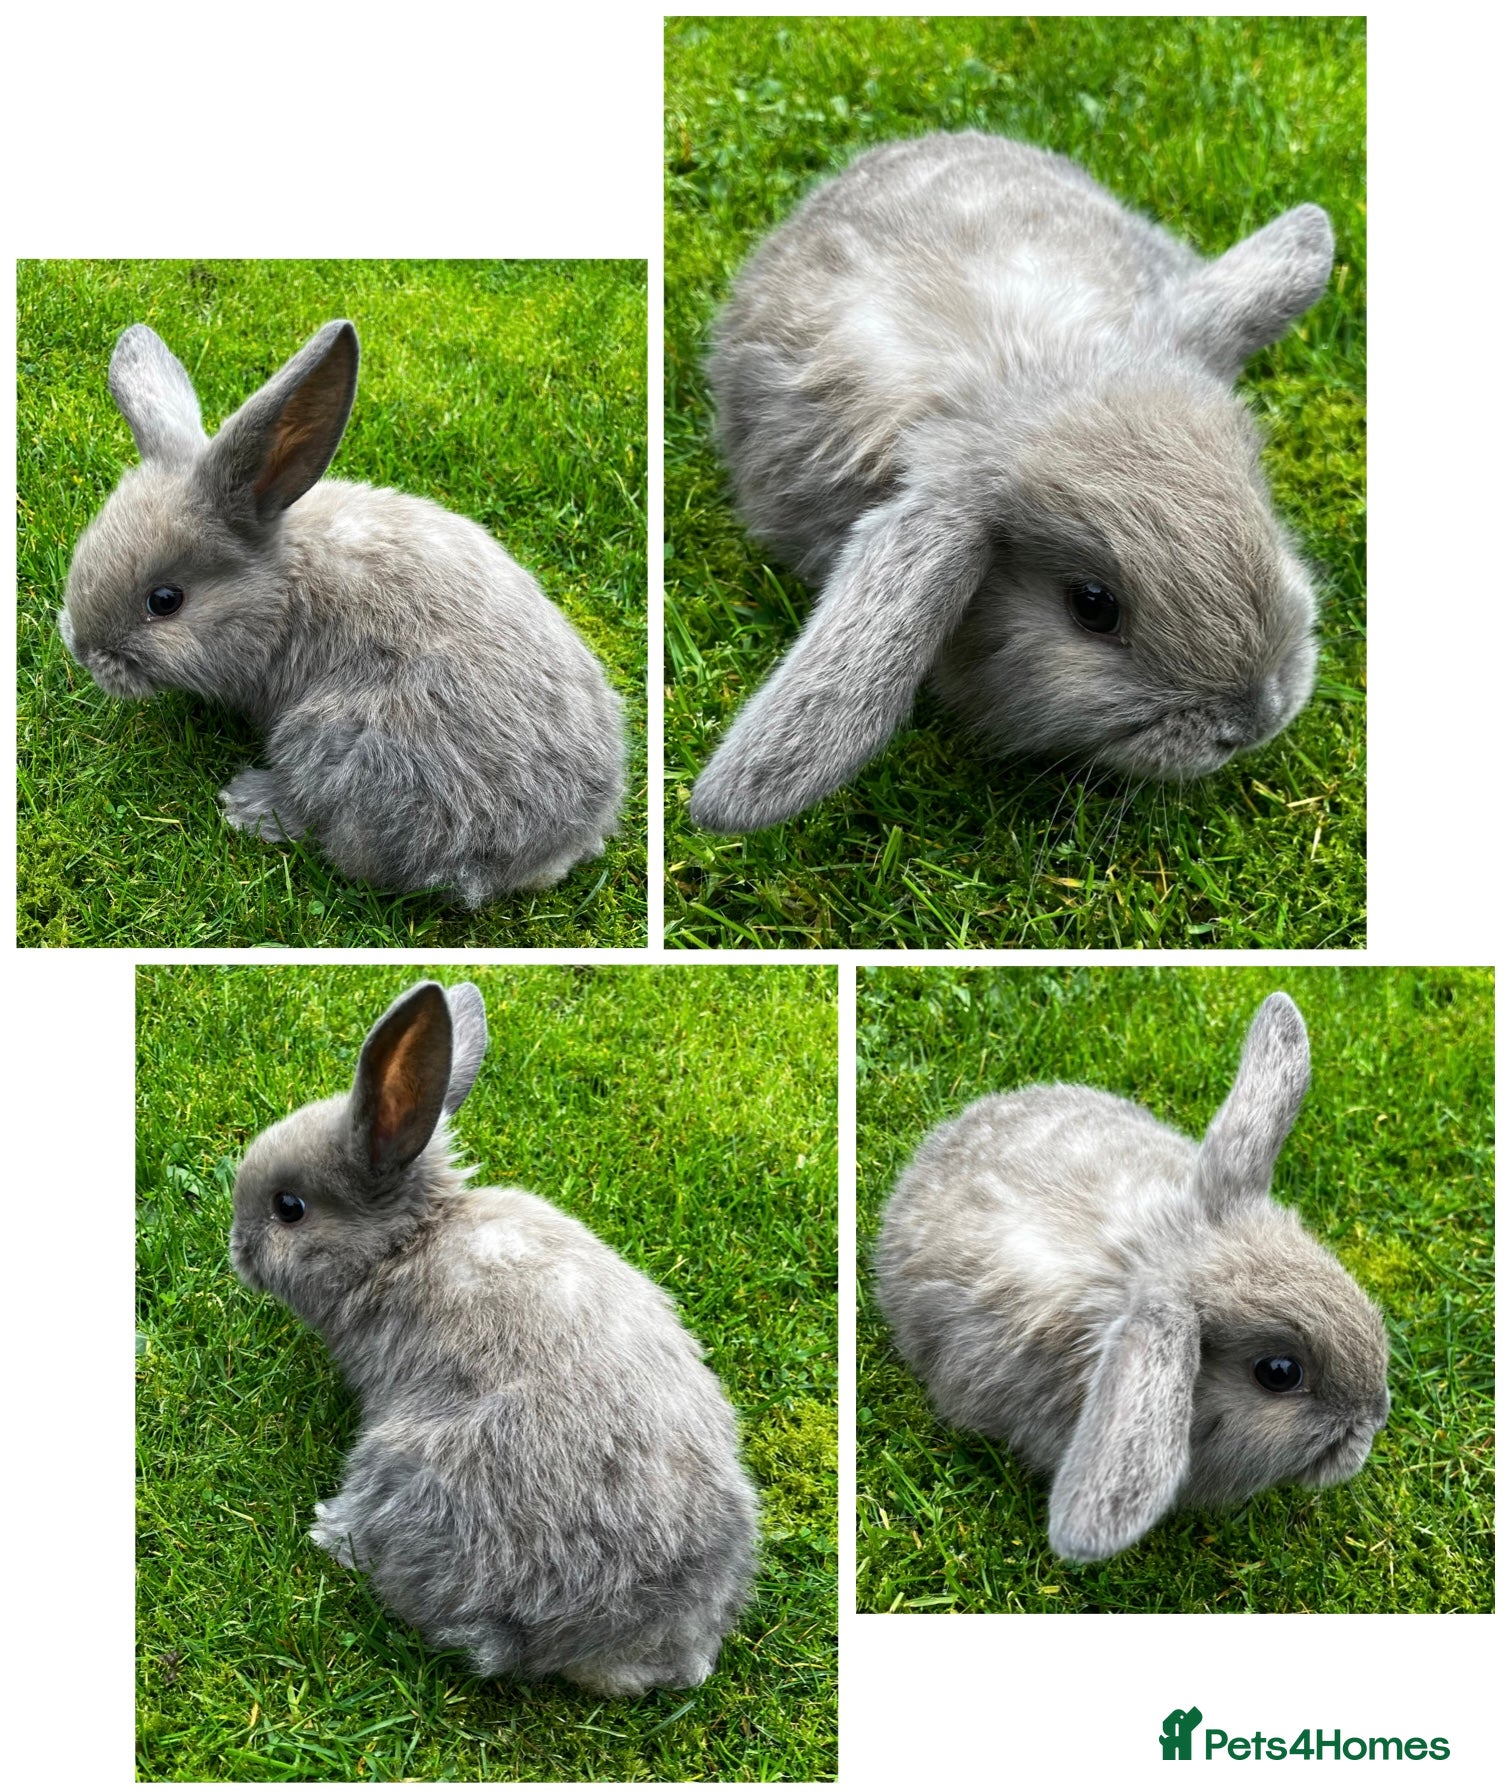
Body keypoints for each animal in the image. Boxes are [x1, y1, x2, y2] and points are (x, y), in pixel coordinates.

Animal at [60, 321, 625, 904]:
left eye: (165, 601)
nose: (85, 653)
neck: (285, 588)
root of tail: (559, 845)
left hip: (345, 740)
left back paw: (249, 803)